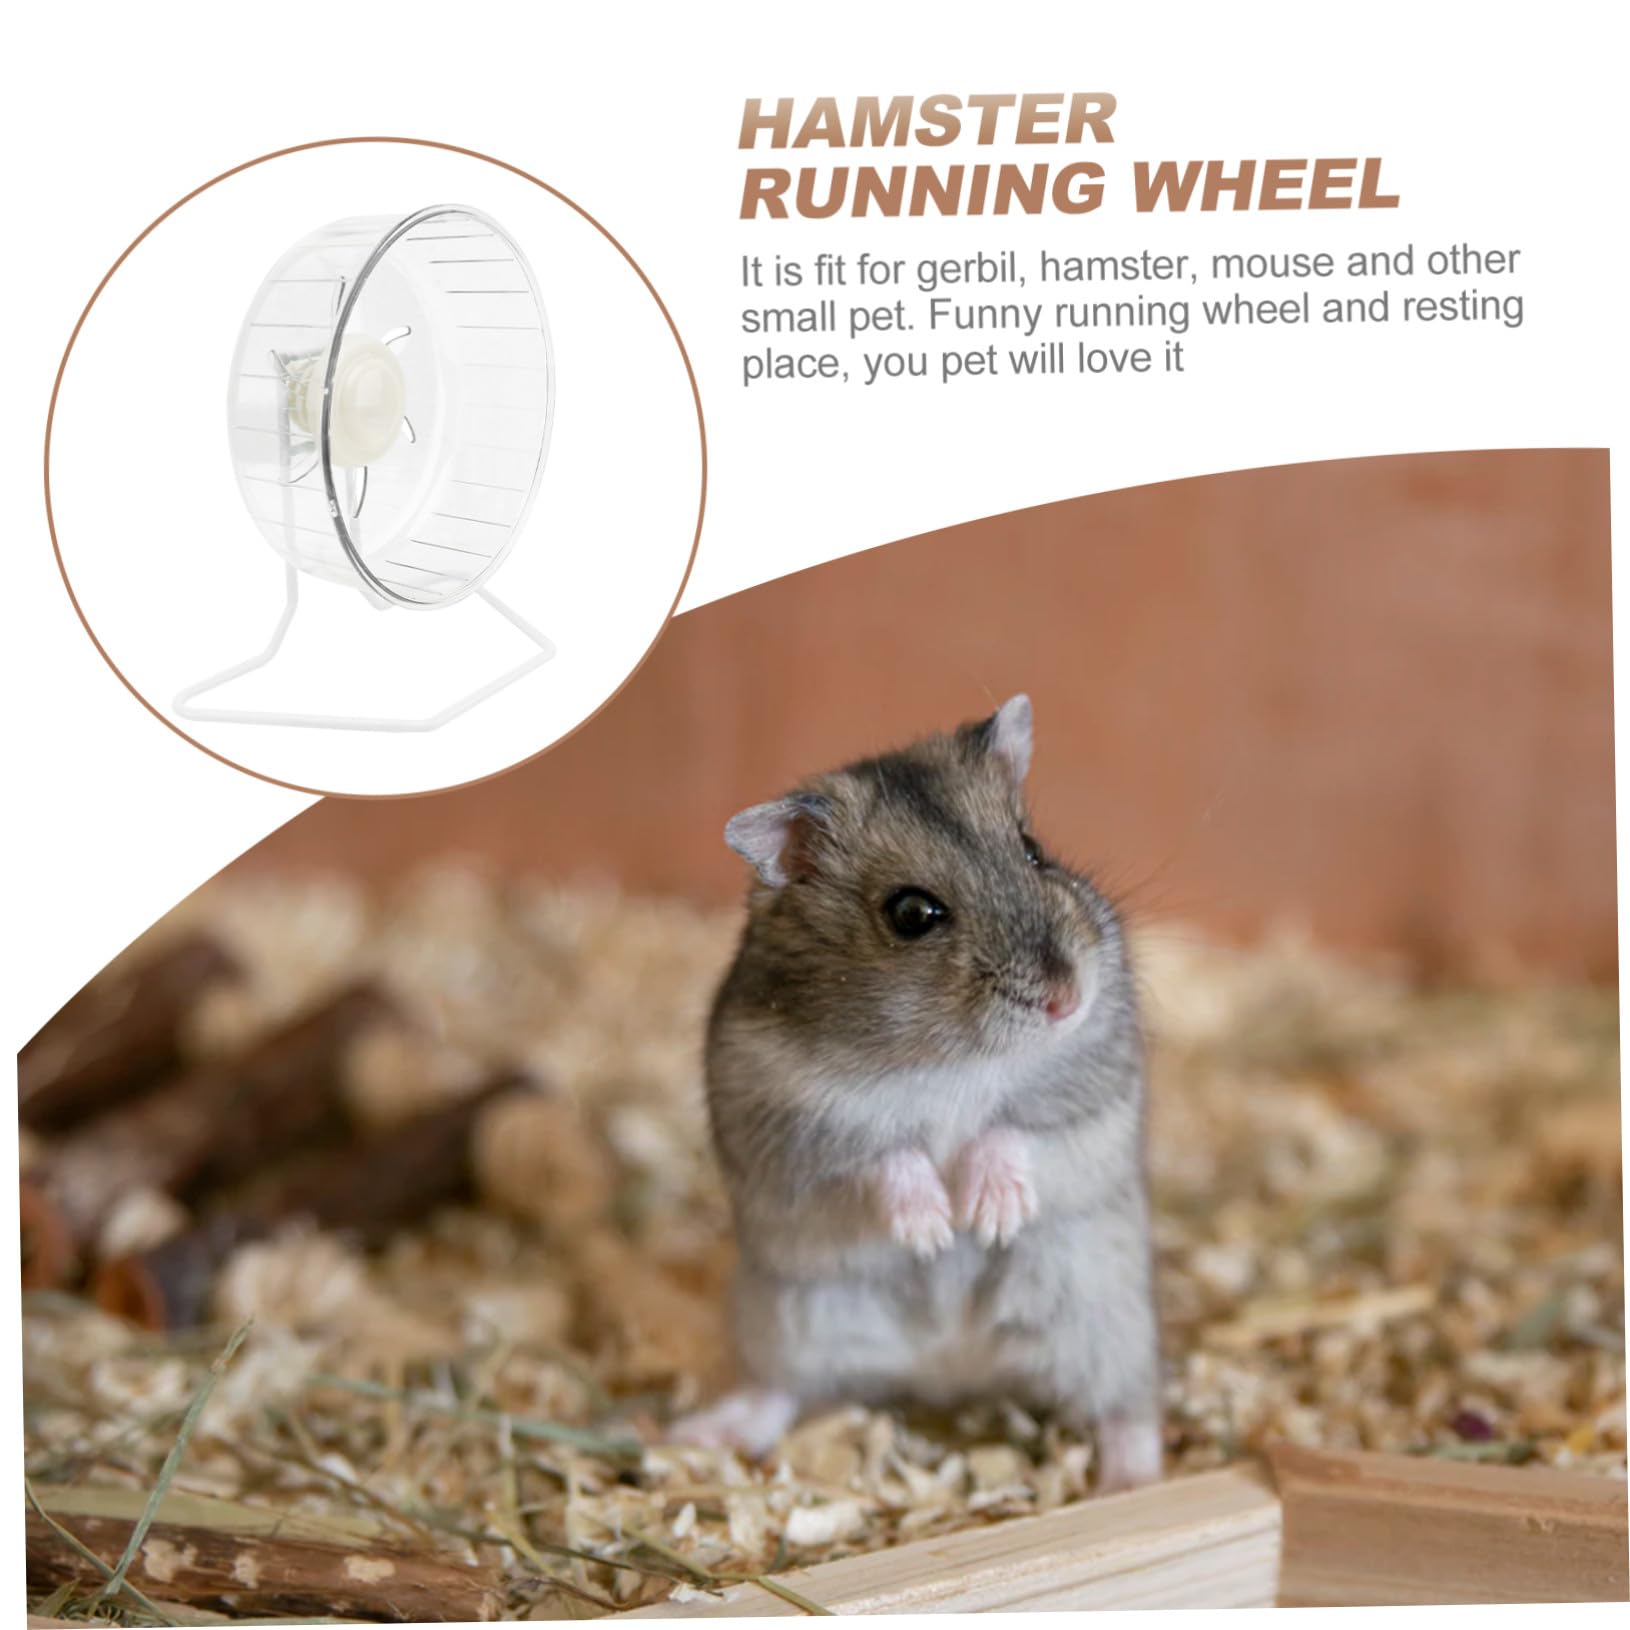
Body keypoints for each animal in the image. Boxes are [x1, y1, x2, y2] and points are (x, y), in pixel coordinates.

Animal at [672, 695, 1162, 1492]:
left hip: (1107, 1318)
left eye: (1033, 849)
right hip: (786, 1320)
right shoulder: (792, 1127)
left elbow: (1013, 1131)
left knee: (1129, 1409)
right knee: (777, 1391)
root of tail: (950, 1369)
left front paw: (988, 1218)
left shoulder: (1091, 1091)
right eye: (910, 914)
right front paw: (934, 1231)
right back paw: (694, 1434)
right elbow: (884, 1157)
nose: (1067, 999)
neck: (950, 1057)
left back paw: (1131, 1483)